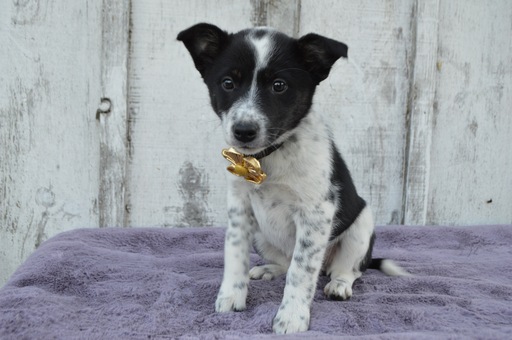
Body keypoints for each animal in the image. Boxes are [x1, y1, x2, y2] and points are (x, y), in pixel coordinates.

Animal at [177, 23, 408, 334]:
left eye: (279, 86)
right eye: (227, 83)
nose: (243, 131)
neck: (266, 158)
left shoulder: (316, 213)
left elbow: (301, 272)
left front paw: (292, 317)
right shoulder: (240, 208)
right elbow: (234, 254)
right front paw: (231, 296)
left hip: (361, 227)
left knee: (347, 269)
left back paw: (338, 284)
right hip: (261, 236)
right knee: (285, 263)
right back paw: (268, 270)